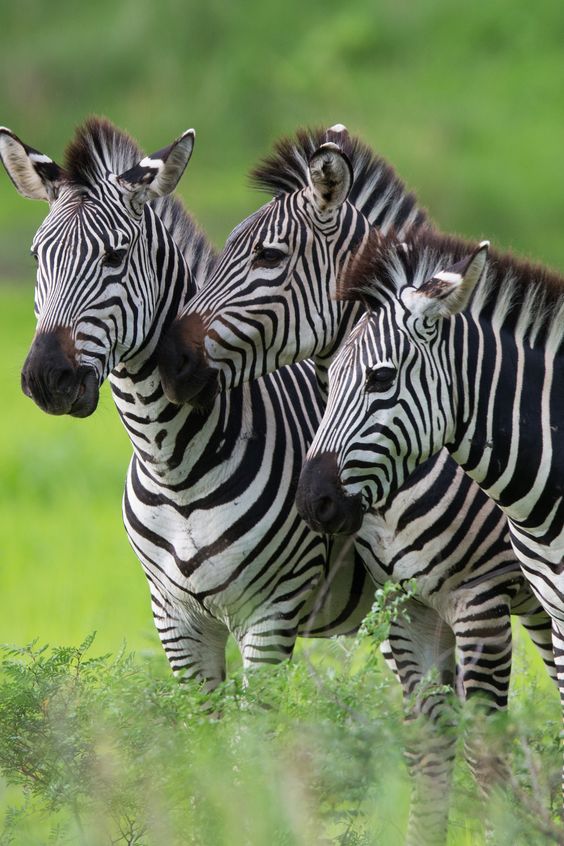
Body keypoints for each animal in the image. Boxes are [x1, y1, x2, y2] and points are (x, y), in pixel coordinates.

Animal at [0, 116, 388, 696]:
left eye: (115, 257)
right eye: (35, 257)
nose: (47, 378)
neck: (171, 464)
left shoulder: (272, 614)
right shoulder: (175, 620)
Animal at [296, 229, 564, 812]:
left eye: (381, 378)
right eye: (327, 379)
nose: (311, 502)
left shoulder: (480, 599)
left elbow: (484, 754)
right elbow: (429, 748)